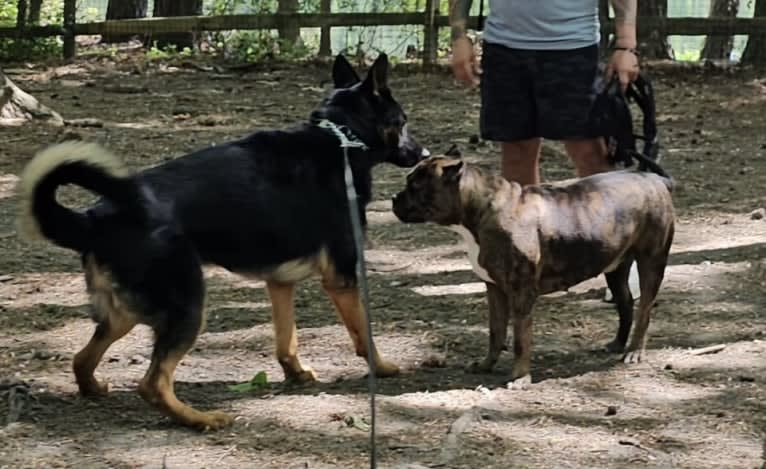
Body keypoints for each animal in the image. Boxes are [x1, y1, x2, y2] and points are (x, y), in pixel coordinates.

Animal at [15, 53, 428, 430]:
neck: (340, 135)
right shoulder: (342, 279)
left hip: (124, 314)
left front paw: (295, 373)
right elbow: (363, 333)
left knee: (82, 360)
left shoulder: (280, 282)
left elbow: (287, 340)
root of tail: (95, 218)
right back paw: (201, 419)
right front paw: (382, 367)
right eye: (403, 122)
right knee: (152, 383)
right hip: (185, 307)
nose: (423, 153)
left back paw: (95, 390)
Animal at [392, 157, 676, 388]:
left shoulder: (521, 293)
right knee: (625, 303)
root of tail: (653, 178)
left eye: (415, 186)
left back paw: (634, 351)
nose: (395, 198)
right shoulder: (494, 289)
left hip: (651, 262)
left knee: (644, 309)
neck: (482, 210)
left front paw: (519, 377)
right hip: (615, 267)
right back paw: (617, 344)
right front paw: (485, 365)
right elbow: (495, 332)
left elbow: (520, 339)